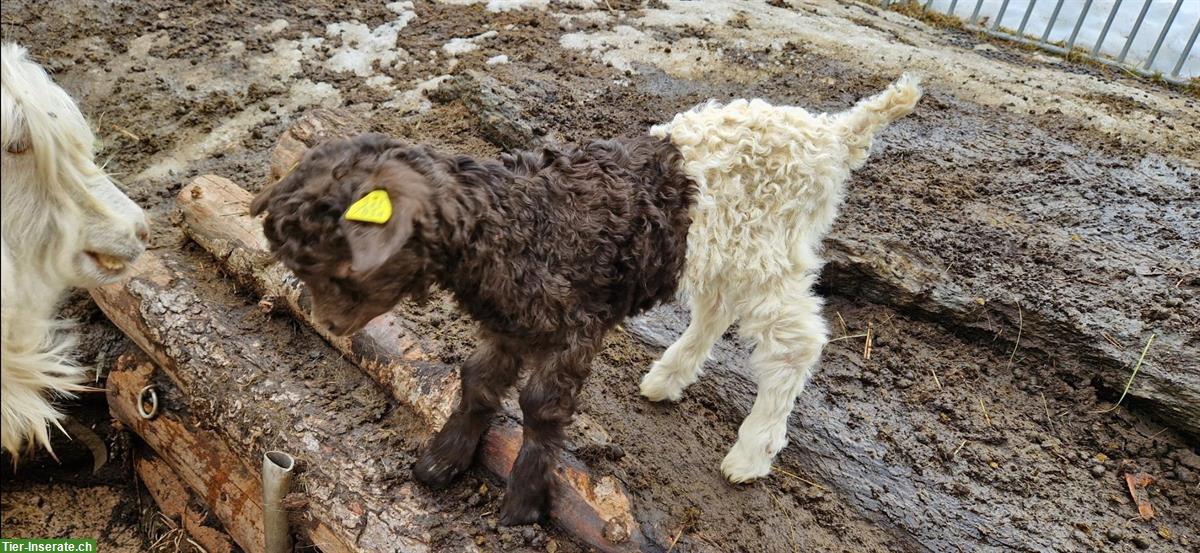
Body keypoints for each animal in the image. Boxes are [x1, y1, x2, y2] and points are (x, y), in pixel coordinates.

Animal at [643, 75, 921, 479]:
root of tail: (832, 134)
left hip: (765, 252)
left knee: (793, 346)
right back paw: (665, 379)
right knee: (717, 312)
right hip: (727, 253)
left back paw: (751, 454)